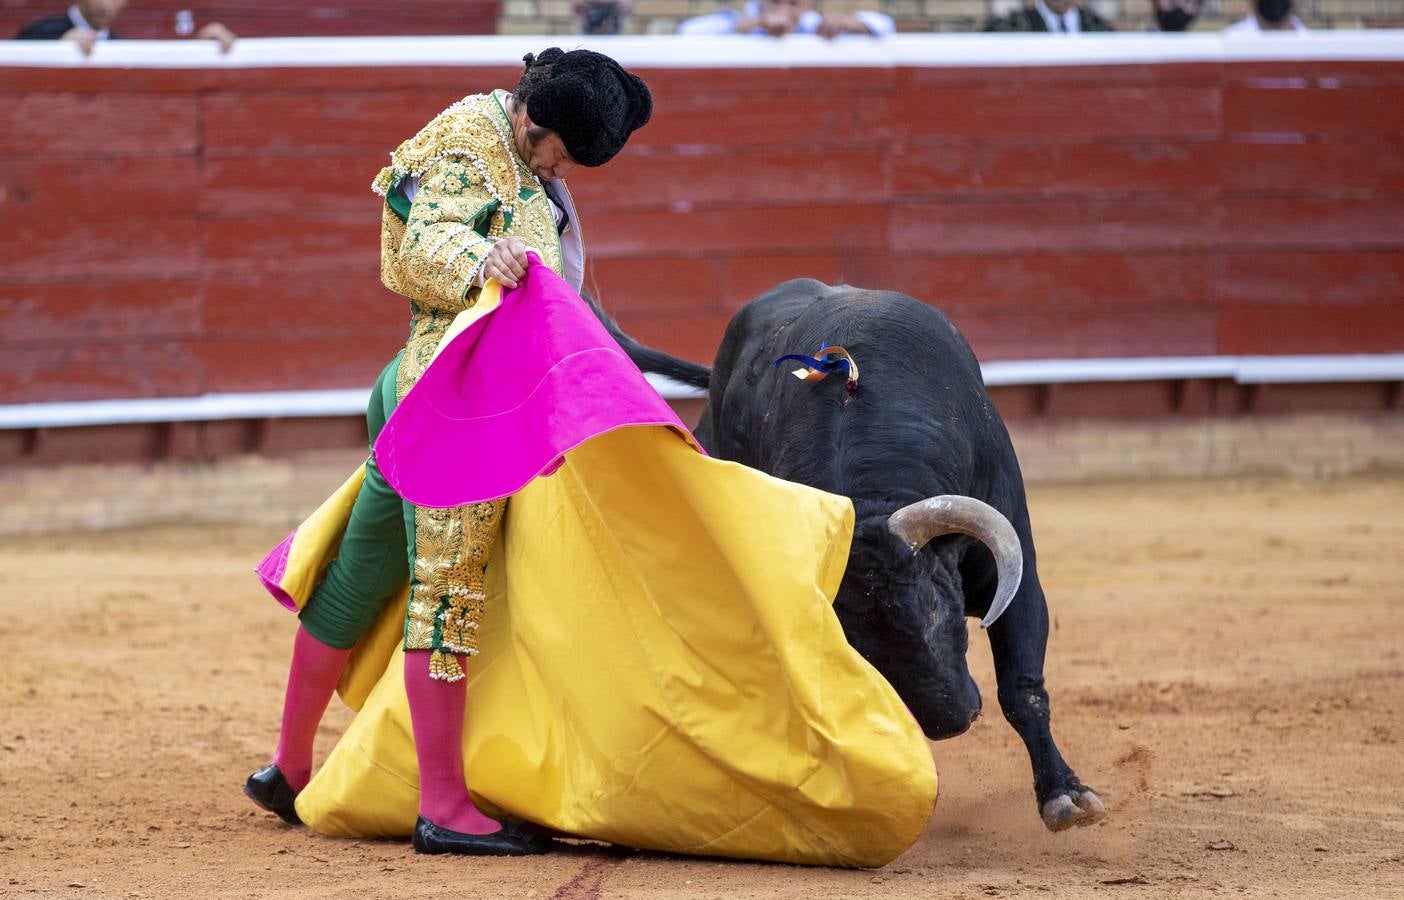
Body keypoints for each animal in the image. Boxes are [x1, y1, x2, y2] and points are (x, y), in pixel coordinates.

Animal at [598, 279, 1100, 831]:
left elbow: (1022, 687)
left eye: (936, 607)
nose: (953, 720)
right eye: (854, 645)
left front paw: (1065, 795)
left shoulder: (1014, 573)